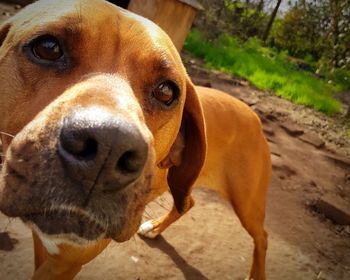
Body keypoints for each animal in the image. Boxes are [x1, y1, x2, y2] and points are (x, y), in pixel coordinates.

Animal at [0, 1, 272, 278]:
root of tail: (254, 116)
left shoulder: (63, 263)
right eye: (48, 48)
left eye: (166, 92)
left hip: (247, 204)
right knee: (188, 202)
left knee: (262, 236)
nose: (109, 147)